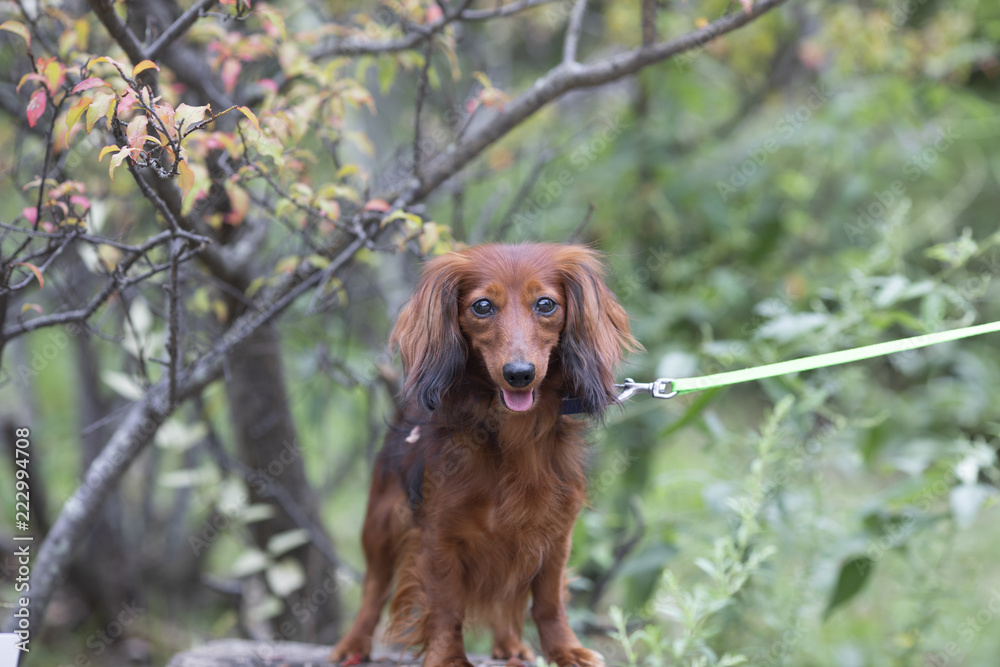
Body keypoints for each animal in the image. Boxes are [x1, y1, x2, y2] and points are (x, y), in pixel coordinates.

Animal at [332, 244, 636, 667]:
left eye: (546, 304)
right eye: (482, 306)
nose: (519, 374)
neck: (514, 433)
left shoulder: (555, 533)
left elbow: (549, 602)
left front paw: (565, 650)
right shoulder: (439, 534)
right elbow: (447, 607)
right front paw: (448, 658)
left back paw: (510, 644)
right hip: (381, 524)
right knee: (373, 589)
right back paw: (353, 644)